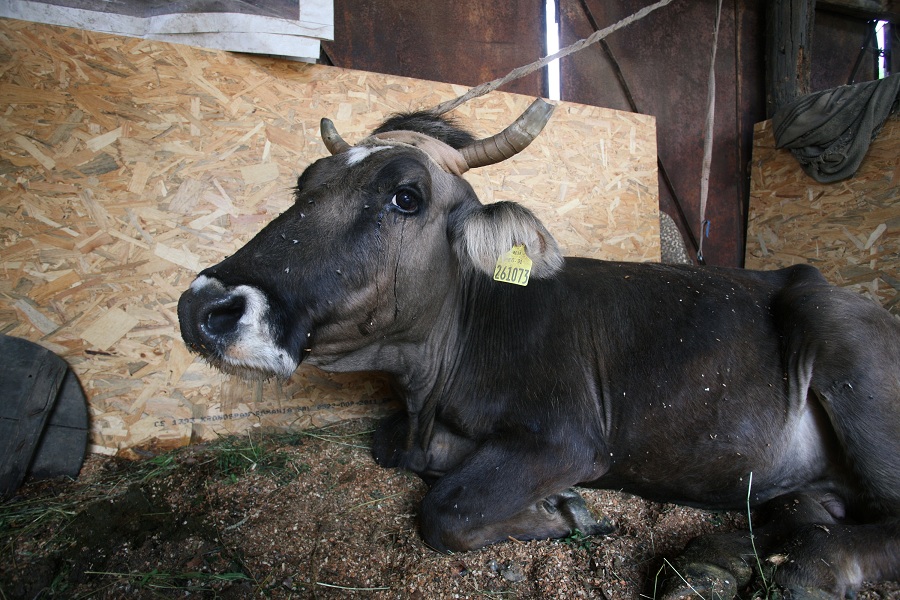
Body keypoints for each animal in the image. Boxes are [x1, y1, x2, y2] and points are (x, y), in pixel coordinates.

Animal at [178, 101, 900, 596]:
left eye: (405, 195)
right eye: (304, 183)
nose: (203, 308)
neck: (432, 382)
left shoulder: (568, 438)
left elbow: (446, 509)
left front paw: (562, 510)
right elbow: (396, 452)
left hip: (846, 351)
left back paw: (813, 567)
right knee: (811, 506)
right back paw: (717, 558)